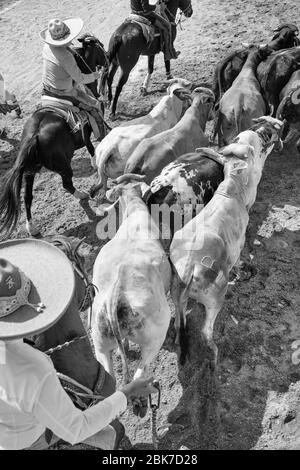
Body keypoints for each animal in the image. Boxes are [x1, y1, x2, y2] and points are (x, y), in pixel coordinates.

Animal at [0, 34, 109, 239]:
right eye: (99, 45)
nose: (107, 59)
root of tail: (33, 136)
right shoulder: (89, 129)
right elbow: (91, 147)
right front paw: (94, 162)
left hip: (30, 171)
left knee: (27, 197)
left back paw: (32, 228)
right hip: (63, 166)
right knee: (66, 184)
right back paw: (82, 195)